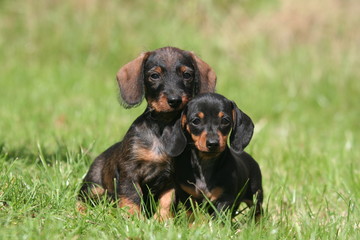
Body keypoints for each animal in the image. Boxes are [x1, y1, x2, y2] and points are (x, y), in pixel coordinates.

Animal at [78, 47, 217, 219]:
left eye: (187, 75)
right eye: (154, 75)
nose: (174, 100)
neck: (163, 128)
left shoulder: (172, 179)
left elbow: (167, 201)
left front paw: (163, 220)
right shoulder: (129, 172)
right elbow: (131, 197)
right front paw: (133, 218)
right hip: (94, 186)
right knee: (82, 199)